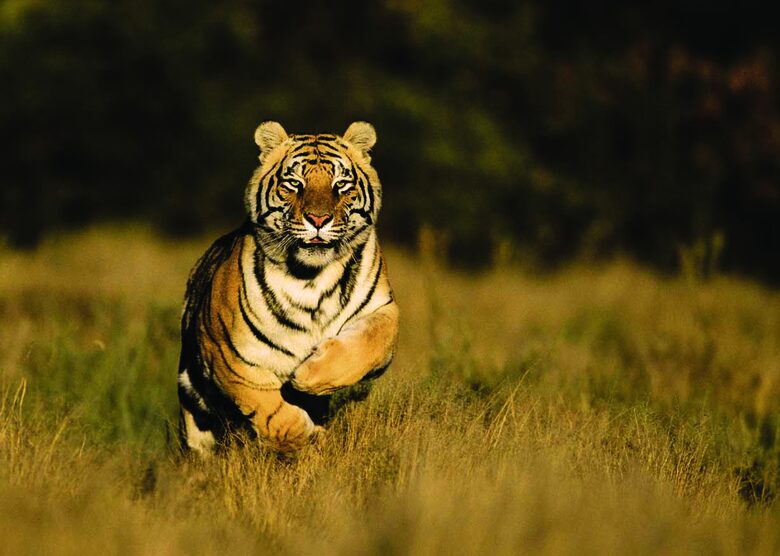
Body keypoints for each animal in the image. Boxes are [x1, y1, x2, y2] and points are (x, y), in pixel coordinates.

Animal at [177, 121, 399, 455]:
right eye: (295, 183)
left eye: (341, 185)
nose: (318, 219)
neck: (311, 276)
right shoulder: (226, 353)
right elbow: (270, 410)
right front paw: (307, 436)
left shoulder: (384, 310)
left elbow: (367, 345)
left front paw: (308, 375)